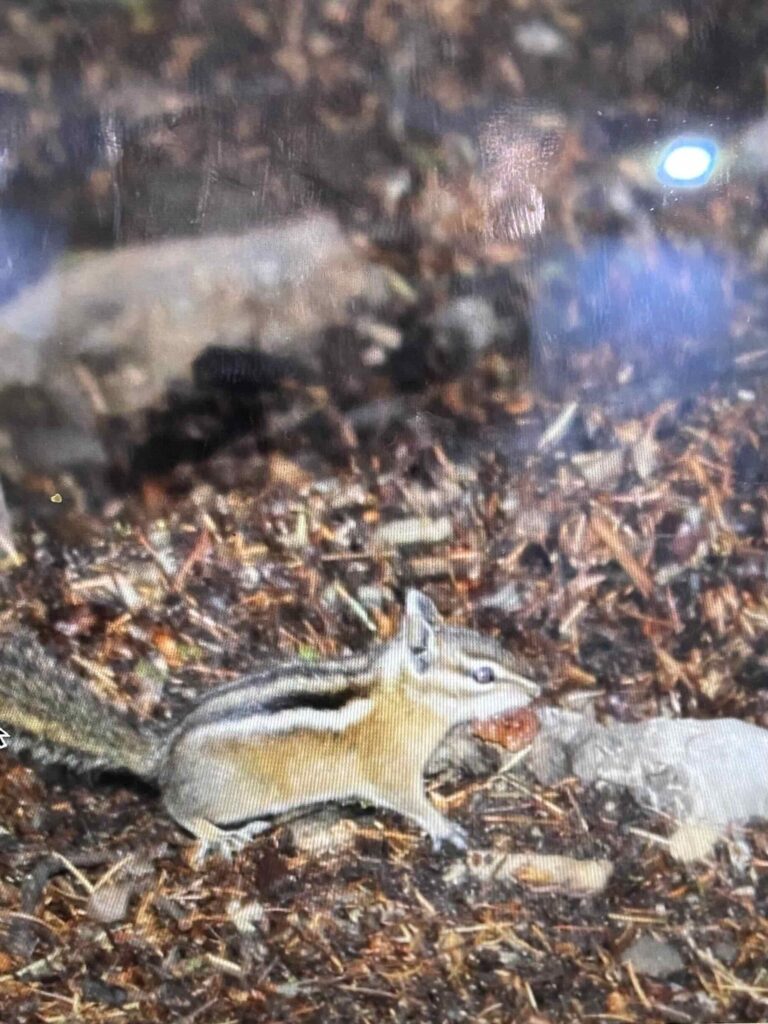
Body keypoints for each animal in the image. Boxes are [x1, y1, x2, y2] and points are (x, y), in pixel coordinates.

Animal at [0, 590, 540, 860]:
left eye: (497, 644)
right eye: (484, 675)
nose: (538, 691)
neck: (403, 697)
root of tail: (162, 753)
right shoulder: (391, 774)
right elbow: (413, 802)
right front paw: (445, 826)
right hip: (226, 799)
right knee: (176, 807)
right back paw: (221, 837)